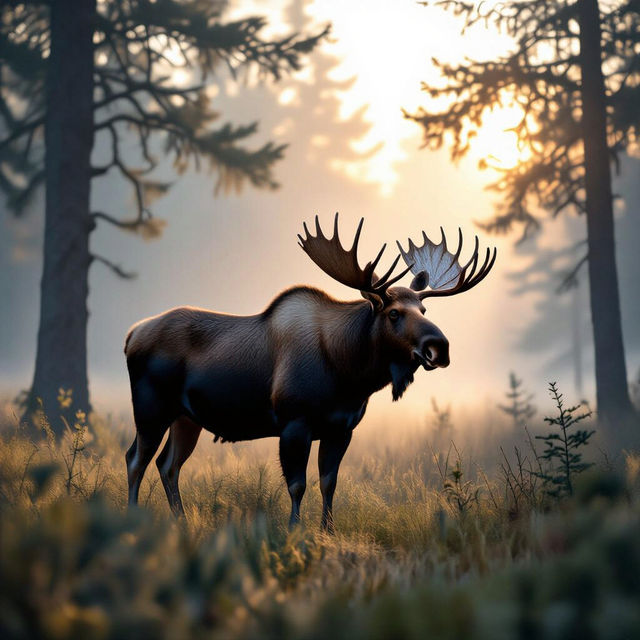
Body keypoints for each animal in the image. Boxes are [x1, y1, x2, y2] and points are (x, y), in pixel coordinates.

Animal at [124, 214, 496, 531]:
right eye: (393, 313)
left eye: (423, 309)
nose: (439, 347)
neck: (349, 373)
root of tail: (131, 335)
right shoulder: (294, 422)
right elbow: (297, 485)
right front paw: (295, 529)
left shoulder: (341, 428)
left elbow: (329, 483)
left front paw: (327, 531)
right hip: (150, 409)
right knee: (136, 459)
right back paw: (131, 518)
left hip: (186, 417)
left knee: (168, 465)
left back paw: (180, 520)